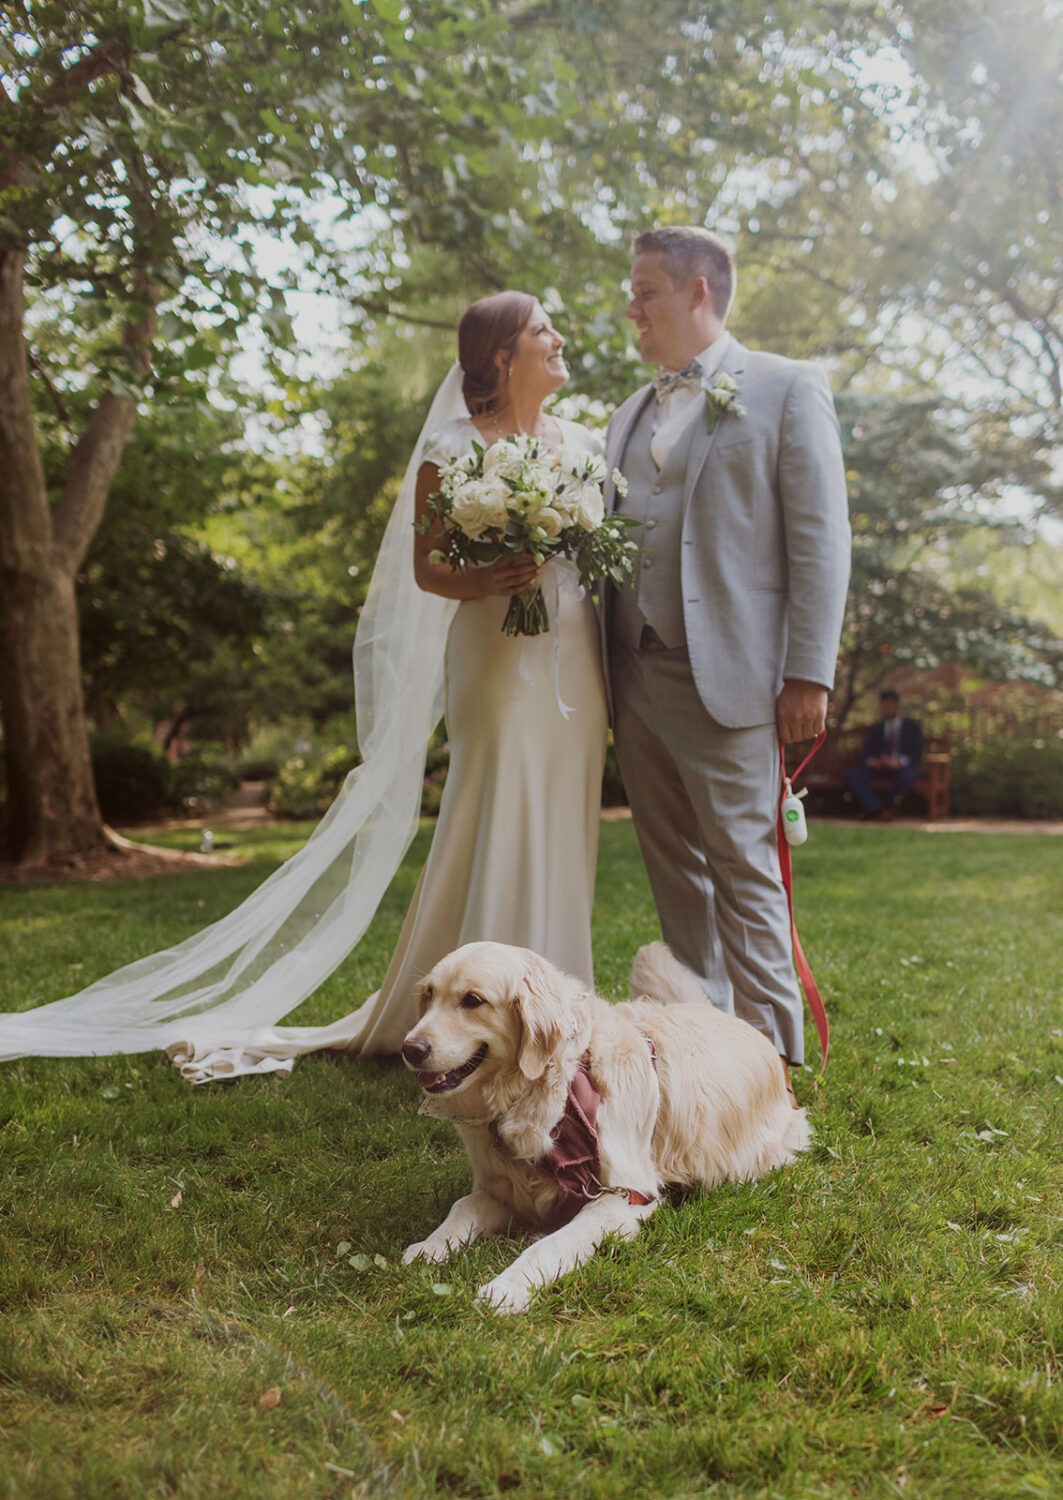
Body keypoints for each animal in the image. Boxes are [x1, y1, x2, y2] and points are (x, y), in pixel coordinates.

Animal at [401, 936, 809, 1314]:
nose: (410, 1049)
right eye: (430, 995)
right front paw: (427, 1248)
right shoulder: (503, 1192)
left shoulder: (622, 1196)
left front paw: (506, 1287)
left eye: (473, 1000)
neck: (557, 1087)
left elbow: (549, 1244)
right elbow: (462, 1208)